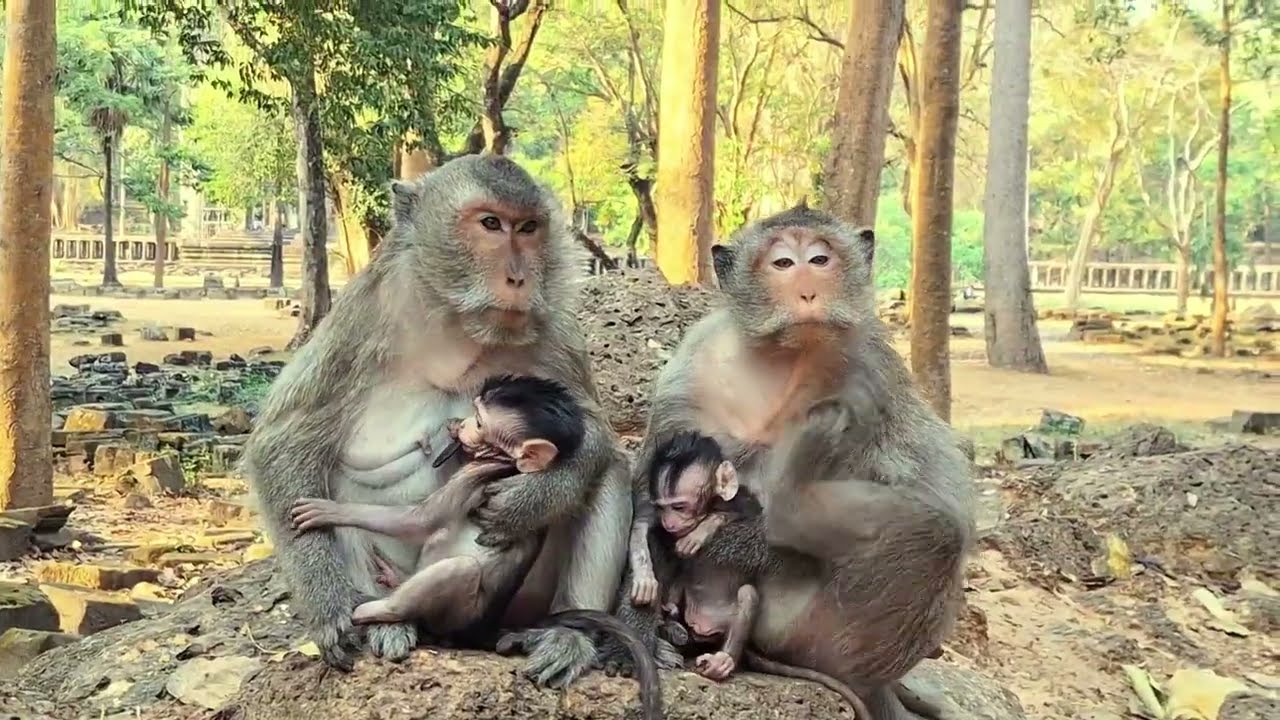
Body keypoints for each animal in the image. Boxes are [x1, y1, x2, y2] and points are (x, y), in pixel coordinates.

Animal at [241, 154, 633, 690]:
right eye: (490, 224)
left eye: (528, 228)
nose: (519, 278)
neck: (458, 322)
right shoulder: (364, 310)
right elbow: (283, 439)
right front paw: (328, 604)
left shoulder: (555, 323)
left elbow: (593, 430)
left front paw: (531, 500)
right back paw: (388, 622)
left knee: (608, 471)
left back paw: (568, 634)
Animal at [611, 202, 975, 720]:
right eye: (783, 263)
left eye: (820, 259)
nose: (808, 290)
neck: (781, 358)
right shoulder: (692, 368)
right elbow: (649, 496)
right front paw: (637, 632)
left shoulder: (871, 372)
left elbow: (921, 484)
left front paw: (716, 534)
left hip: (805, 626)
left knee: (934, 533)